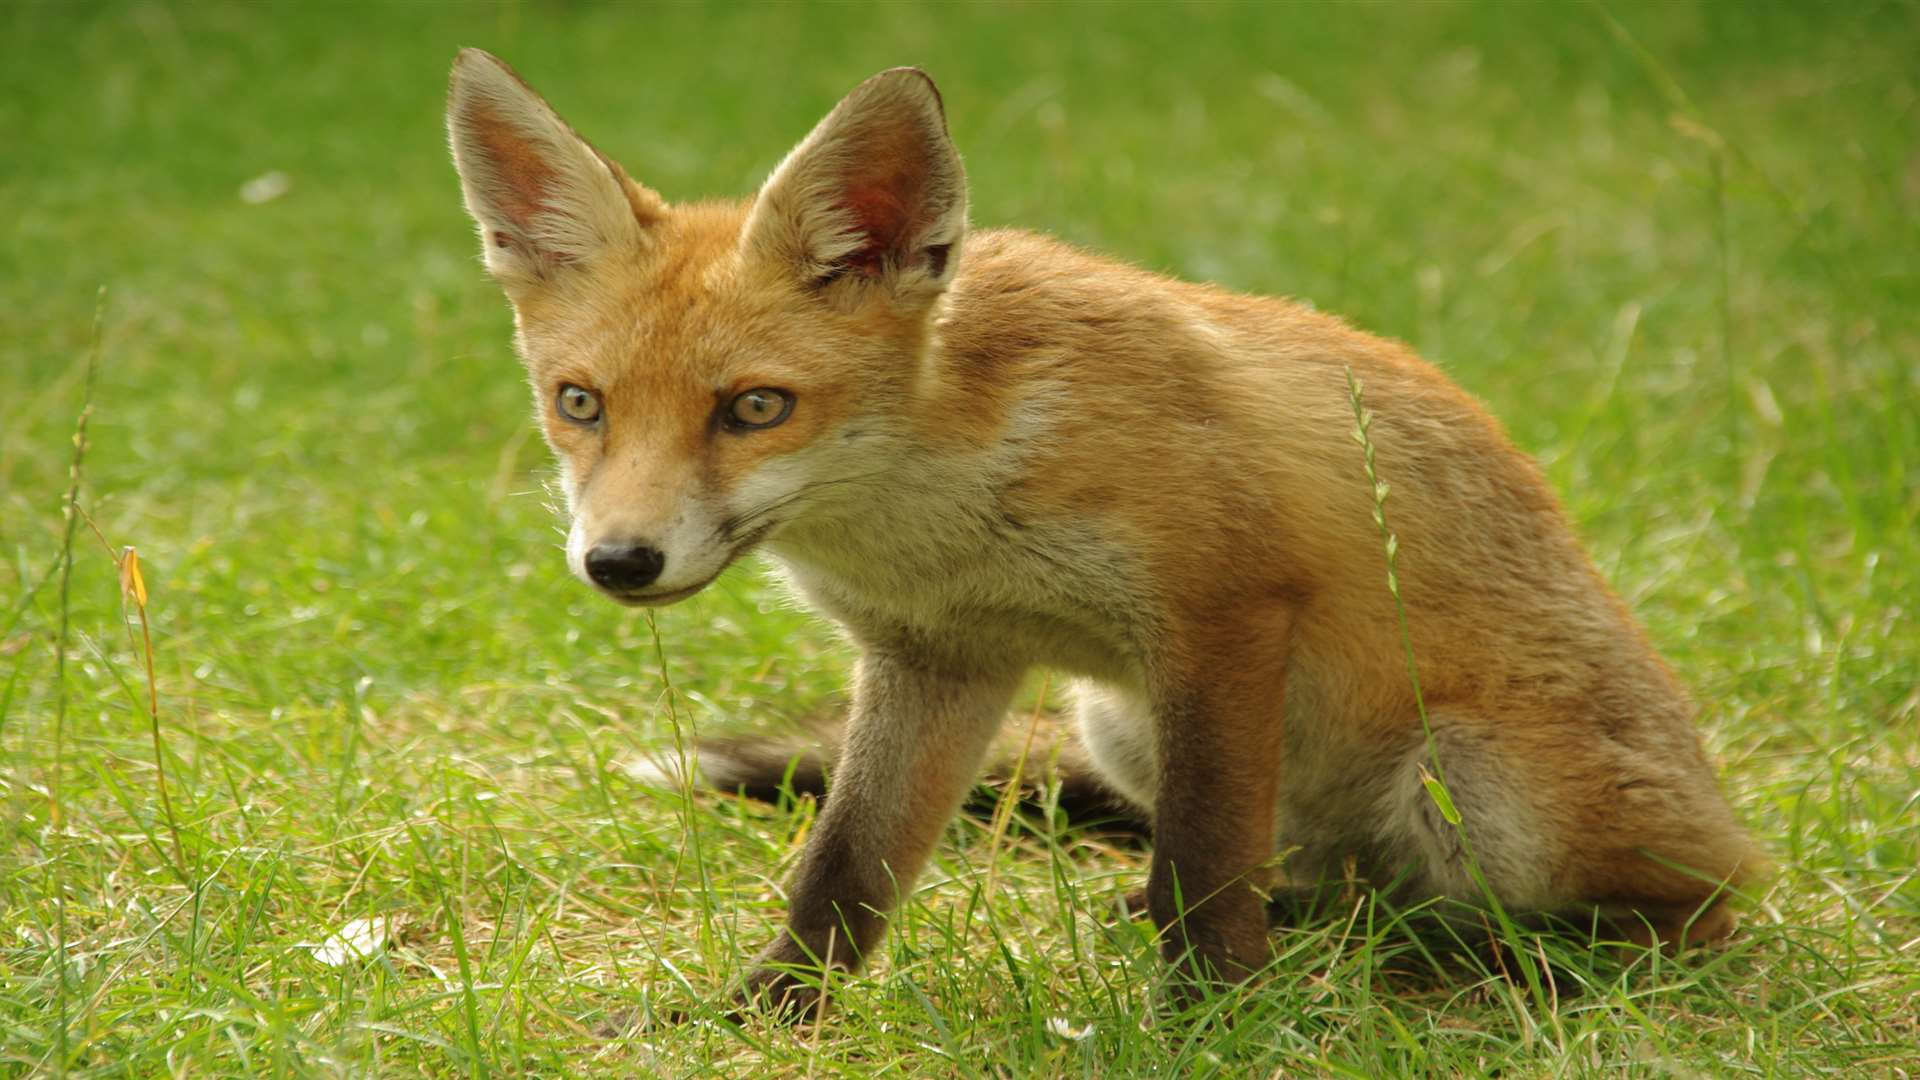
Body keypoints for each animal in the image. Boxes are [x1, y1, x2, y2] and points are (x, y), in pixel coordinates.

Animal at [445, 48, 1758, 1006]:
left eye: (755, 407)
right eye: (579, 403)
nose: (619, 561)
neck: (940, 511)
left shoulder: (1225, 616)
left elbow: (1203, 863)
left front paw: (1212, 1018)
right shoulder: (937, 657)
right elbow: (847, 866)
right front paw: (772, 1010)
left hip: (1481, 782)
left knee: (1675, 917)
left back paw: (1504, 967)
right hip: (1119, 725)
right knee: (1321, 879)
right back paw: (1333, 927)